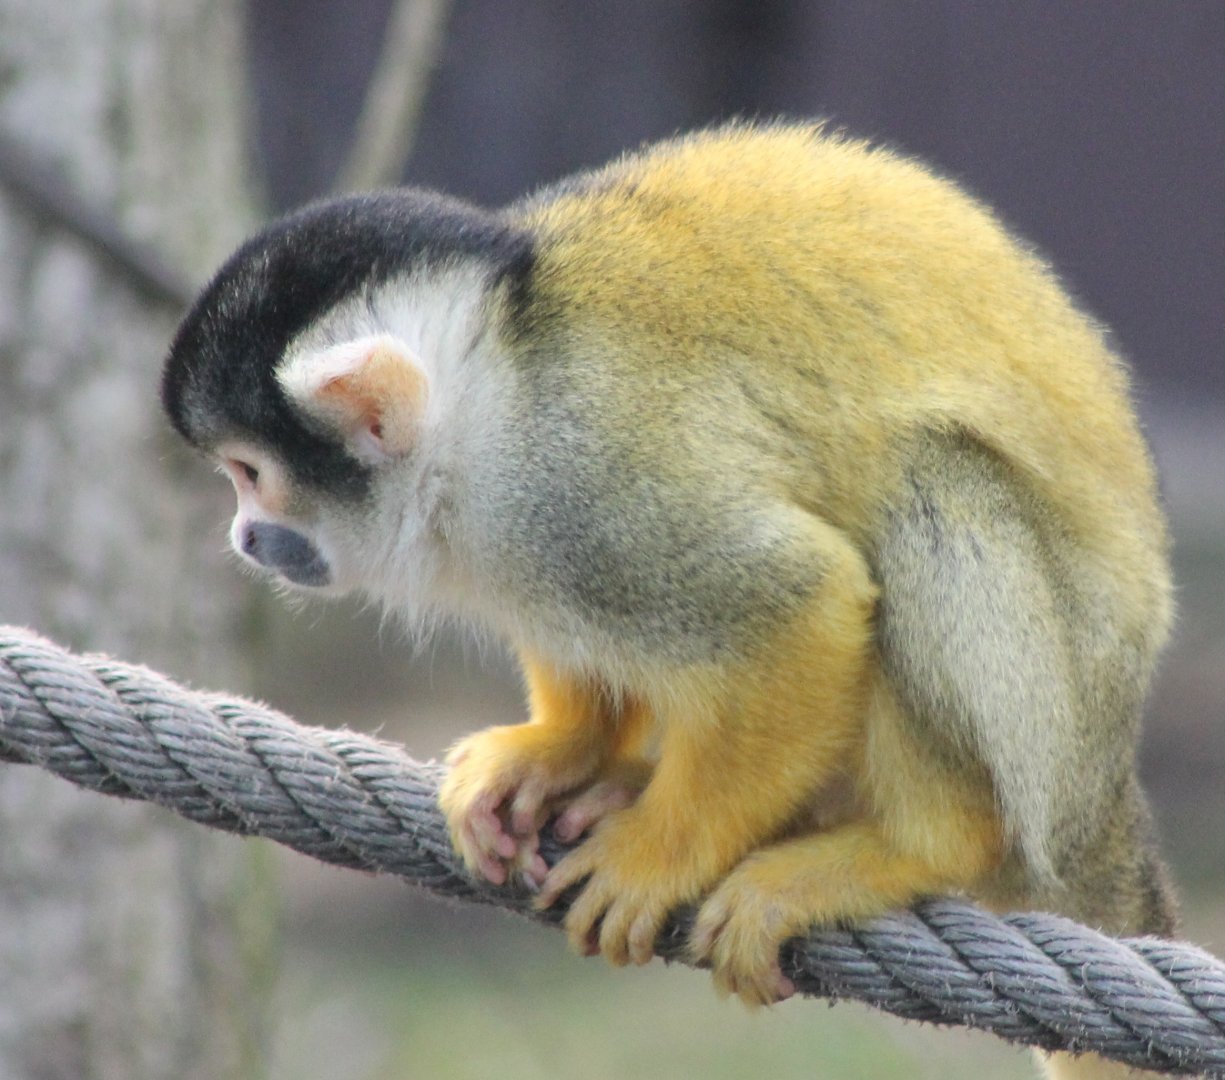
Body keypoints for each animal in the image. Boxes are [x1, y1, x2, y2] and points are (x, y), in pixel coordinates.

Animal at [161, 122, 1179, 1079]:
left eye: (251, 474)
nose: (243, 538)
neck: (489, 394)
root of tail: (1104, 792)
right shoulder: (524, 525)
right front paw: (559, 750)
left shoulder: (577, 476)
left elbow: (799, 601)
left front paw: (660, 854)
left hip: (1054, 723)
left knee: (925, 482)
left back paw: (915, 845)